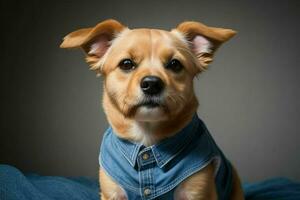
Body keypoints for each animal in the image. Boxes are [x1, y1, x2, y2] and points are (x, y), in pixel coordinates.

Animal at [60, 19, 244, 200]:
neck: (146, 136)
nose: (152, 84)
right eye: (126, 64)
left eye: (175, 64)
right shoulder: (112, 194)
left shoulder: (198, 192)